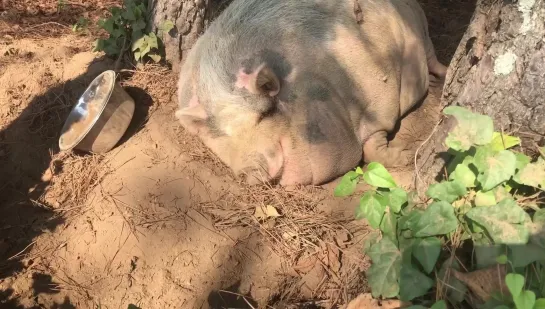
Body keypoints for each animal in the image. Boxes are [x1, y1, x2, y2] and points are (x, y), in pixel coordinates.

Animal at [174, 0, 446, 185]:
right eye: (220, 134)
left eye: (265, 113)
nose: (245, 170)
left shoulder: (381, 97)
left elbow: (373, 145)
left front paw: (406, 155)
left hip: (421, 28)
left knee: (432, 56)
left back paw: (439, 80)